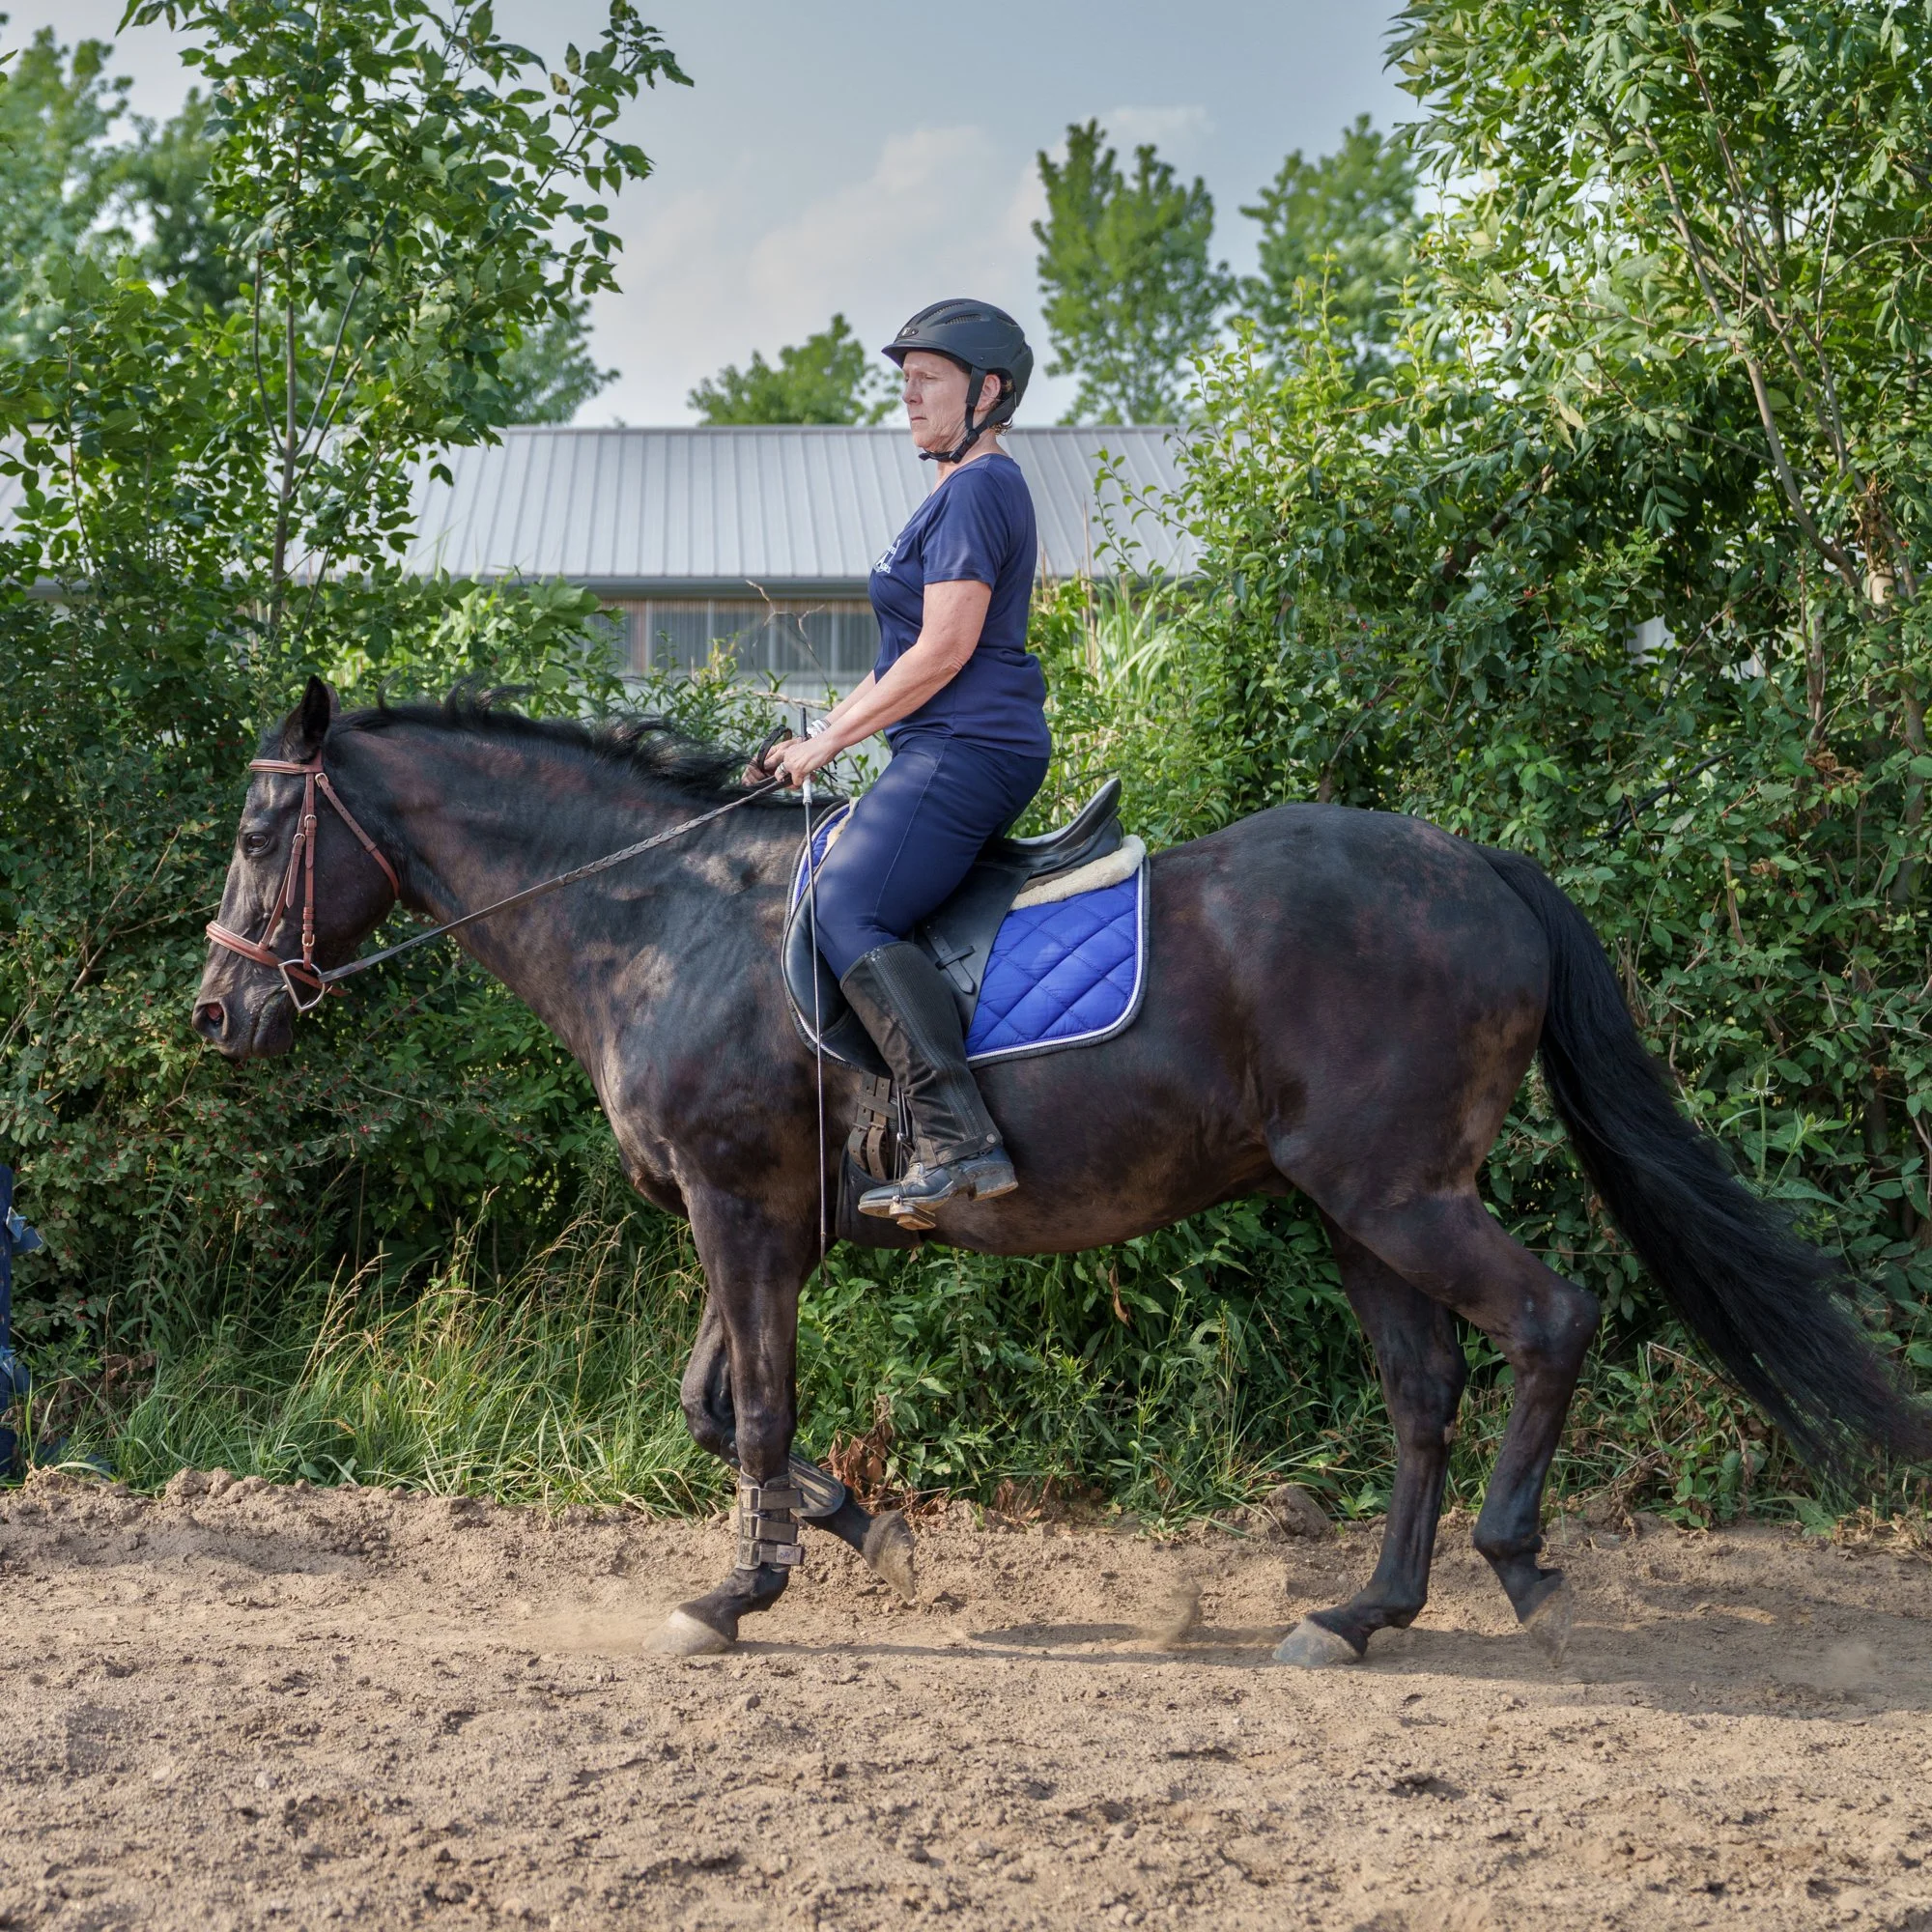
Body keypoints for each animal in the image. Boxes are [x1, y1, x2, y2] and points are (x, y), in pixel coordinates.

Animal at [192, 678, 1932, 1663]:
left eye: (263, 836)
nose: (219, 1012)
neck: (662, 921)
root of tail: (1479, 867)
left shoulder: (740, 1210)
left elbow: (747, 1415)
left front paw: (736, 1597)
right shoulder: (758, 1222)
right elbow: (716, 1411)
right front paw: (863, 1535)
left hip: (1398, 1193)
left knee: (1550, 1324)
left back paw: (1515, 1569)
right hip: (1354, 1206)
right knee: (1423, 1390)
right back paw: (1360, 1614)